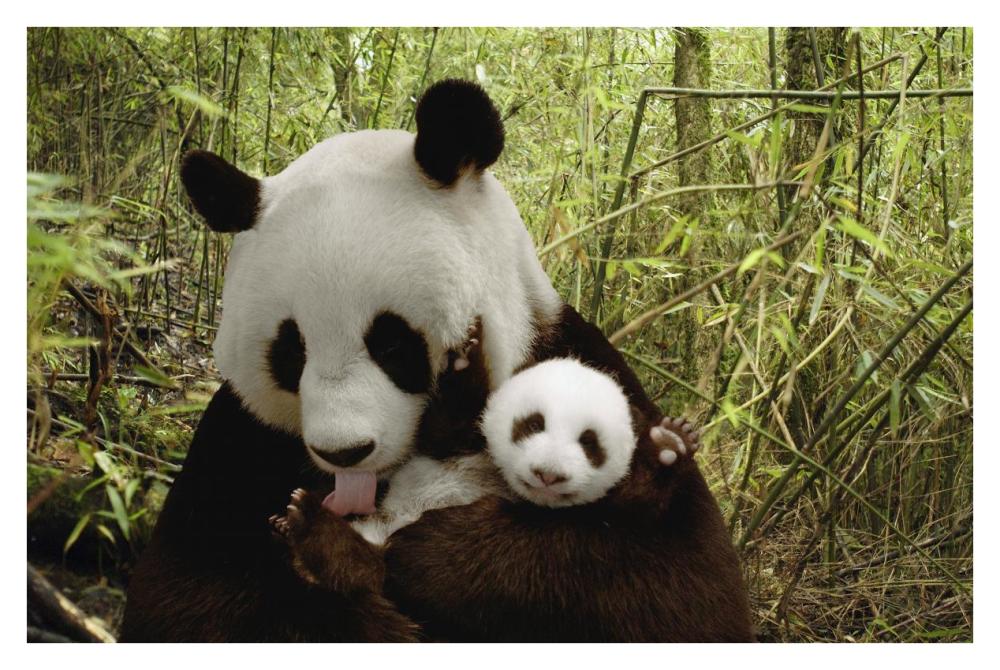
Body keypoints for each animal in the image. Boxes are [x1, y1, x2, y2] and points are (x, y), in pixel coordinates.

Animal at [121, 79, 752, 642]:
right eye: (291, 350)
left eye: (392, 344)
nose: (344, 453)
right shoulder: (241, 439)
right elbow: (189, 596)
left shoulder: (575, 360)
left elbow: (680, 585)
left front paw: (440, 552)